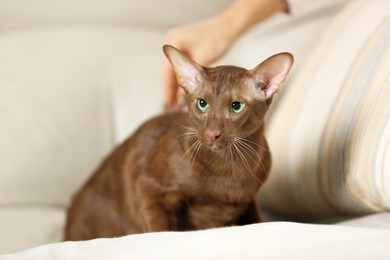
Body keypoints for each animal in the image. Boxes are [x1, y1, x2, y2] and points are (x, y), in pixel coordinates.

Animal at [63, 45, 292, 242]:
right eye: (202, 104)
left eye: (236, 106)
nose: (212, 134)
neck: (230, 167)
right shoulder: (148, 186)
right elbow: (160, 229)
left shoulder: (249, 200)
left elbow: (257, 220)